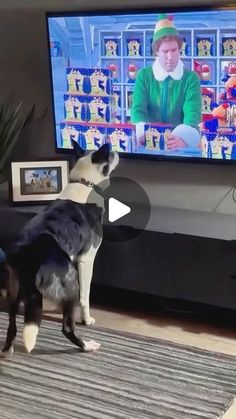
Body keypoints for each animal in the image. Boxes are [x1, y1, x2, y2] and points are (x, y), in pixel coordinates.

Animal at [1, 144, 120, 354]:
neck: (85, 183)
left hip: (13, 292)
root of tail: (27, 258)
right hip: (69, 279)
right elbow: (85, 296)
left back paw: (8, 350)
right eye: (110, 155)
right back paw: (87, 345)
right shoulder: (86, 260)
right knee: (67, 327)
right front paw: (87, 320)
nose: (118, 152)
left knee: (12, 325)